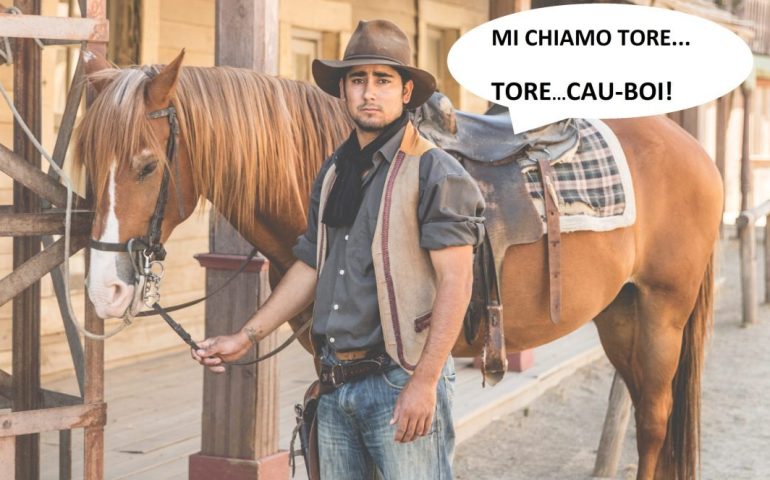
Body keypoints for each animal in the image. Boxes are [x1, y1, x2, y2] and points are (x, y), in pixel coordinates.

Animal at [76, 53, 720, 480]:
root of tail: (694, 150)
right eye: (87, 158)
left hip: (663, 311)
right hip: (620, 313)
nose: (105, 292)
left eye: (146, 165)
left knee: (655, 418)